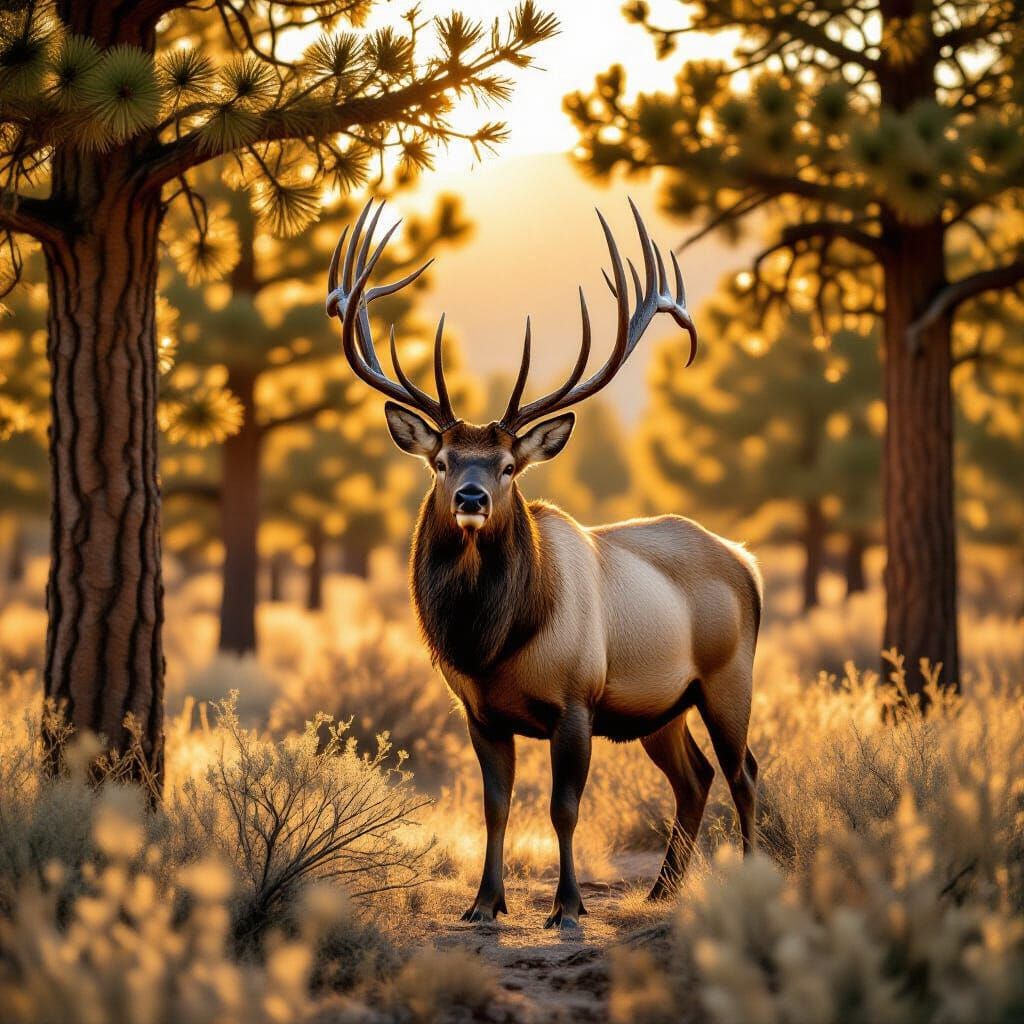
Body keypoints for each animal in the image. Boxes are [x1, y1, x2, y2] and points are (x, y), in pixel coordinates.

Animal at [325, 199, 761, 929]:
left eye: (508, 465)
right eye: (441, 461)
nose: (471, 498)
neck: (494, 644)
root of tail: (747, 562)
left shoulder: (576, 700)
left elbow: (564, 808)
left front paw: (568, 906)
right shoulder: (479, 712)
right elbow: (495, 806)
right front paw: (484, 903)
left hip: (729, 677)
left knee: (743, 772)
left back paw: (757, 881)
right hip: (663, 707)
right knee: (696, 776)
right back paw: (663, 889)